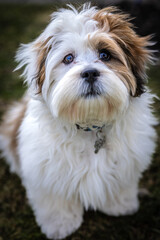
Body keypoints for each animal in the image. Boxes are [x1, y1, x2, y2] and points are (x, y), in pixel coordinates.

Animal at [0, 4, 158, 240]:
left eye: (105, 55)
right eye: (68, 58)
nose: (90, 72)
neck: (90, 123)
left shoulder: (127, 161)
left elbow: (121, 181)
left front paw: (121, 205)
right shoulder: (47, 171)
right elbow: (55, 198)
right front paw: (60, 224)